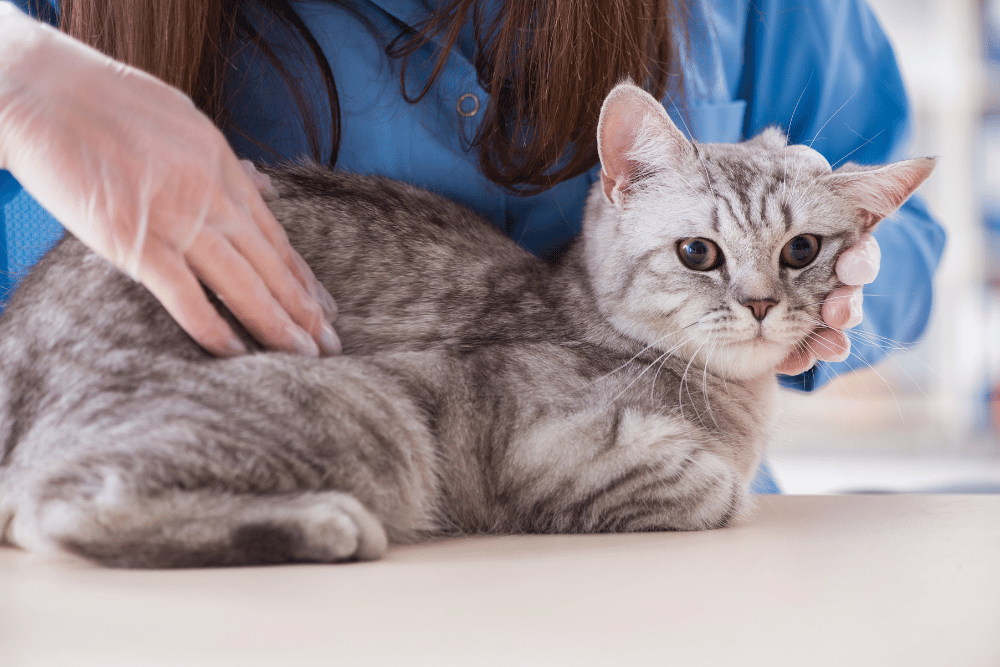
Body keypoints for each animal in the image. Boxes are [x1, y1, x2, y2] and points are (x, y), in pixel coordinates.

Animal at [0, 83, 932, 568]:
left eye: (803, 250)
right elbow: (713, 490)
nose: (762, 302)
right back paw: (324, 524)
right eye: (699, 252)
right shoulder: (545, 447)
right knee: (58, 512)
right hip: (374, 413)